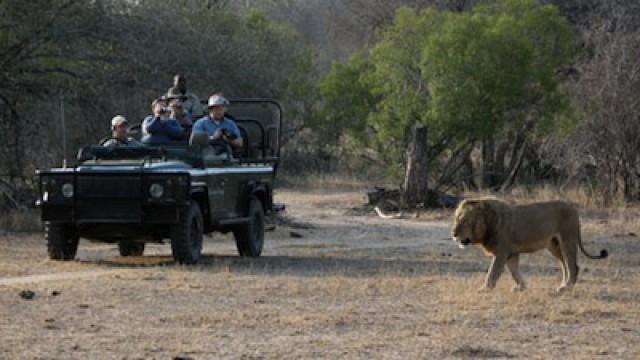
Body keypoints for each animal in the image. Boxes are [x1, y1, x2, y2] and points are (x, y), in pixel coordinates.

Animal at [452, 198, 608, 292]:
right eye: (456, 219)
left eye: (464, 221)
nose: (453, 234)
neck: (488, 223)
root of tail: (573, 208)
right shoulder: (511, 253)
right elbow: (515, 272)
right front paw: (521, 287)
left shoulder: (502, 252)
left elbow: (492, 272)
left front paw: (485, 289)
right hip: (554, 246)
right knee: (565, 265)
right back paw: (563, 285)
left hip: (567, 240)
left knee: (573, 266)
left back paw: (566, 287)